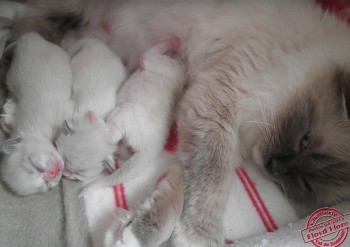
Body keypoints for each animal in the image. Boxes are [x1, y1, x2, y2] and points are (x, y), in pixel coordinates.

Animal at [81, 36, 186, 195]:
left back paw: (93, 117)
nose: (179, 53)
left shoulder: (154, 59)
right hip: (128, 143)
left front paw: (174, 41)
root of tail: (152, 147)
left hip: (126, 112)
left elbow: (147, 55)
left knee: (111, 135)